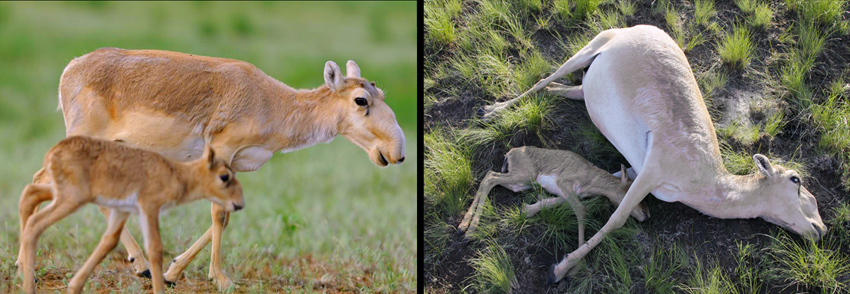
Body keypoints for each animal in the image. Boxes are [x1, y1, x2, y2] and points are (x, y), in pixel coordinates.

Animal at [16, 136, 243, 294]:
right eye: (224, 176)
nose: (240, 204)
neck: (176, 174)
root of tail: (54, 151)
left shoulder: (122, 211)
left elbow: (109, 241)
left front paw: (74, 286)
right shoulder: (149, 208)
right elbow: (155, 249)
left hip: (62, 194)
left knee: (29, 193)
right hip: (71, 199)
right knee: (35, 222)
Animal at [458, 145, 648, 246]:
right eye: (629, 190)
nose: (646, 215)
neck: (591, 178)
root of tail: (510, 152)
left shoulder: (567, 193)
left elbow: (552, 202)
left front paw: (527, 209)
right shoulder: (564, 183)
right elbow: (581, 210)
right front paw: (576, 262)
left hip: (520, 183)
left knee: (490, 176)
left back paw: (464, 227)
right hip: (525, 176)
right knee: (490, 177)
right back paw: (468, 231)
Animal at [480, 25, 824, 284]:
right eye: (796, 180)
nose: (820, 229)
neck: (705, 179)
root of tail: (642, 28)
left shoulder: (633, 171)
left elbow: (594, 187)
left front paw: (530, 208)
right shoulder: (651, 170)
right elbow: (616, 219)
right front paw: (560, 268)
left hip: (586, 80)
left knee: (569, 90)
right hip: (589, 48)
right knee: (544, 79)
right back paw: (493, 109)